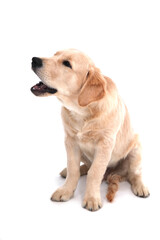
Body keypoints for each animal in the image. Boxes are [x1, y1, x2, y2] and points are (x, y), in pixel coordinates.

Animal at [30, 49, 149, 211]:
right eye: (55, 55)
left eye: (67, 63)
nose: (34, 60)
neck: (83, 111)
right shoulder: (70, 140)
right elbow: (73, 168)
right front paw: (66, 190)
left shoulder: (105, 143)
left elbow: (95, 172)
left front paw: (92, 198)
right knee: (85, 166)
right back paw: (68, 171)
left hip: (136, 150)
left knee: (135, 174)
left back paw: (140, 187)